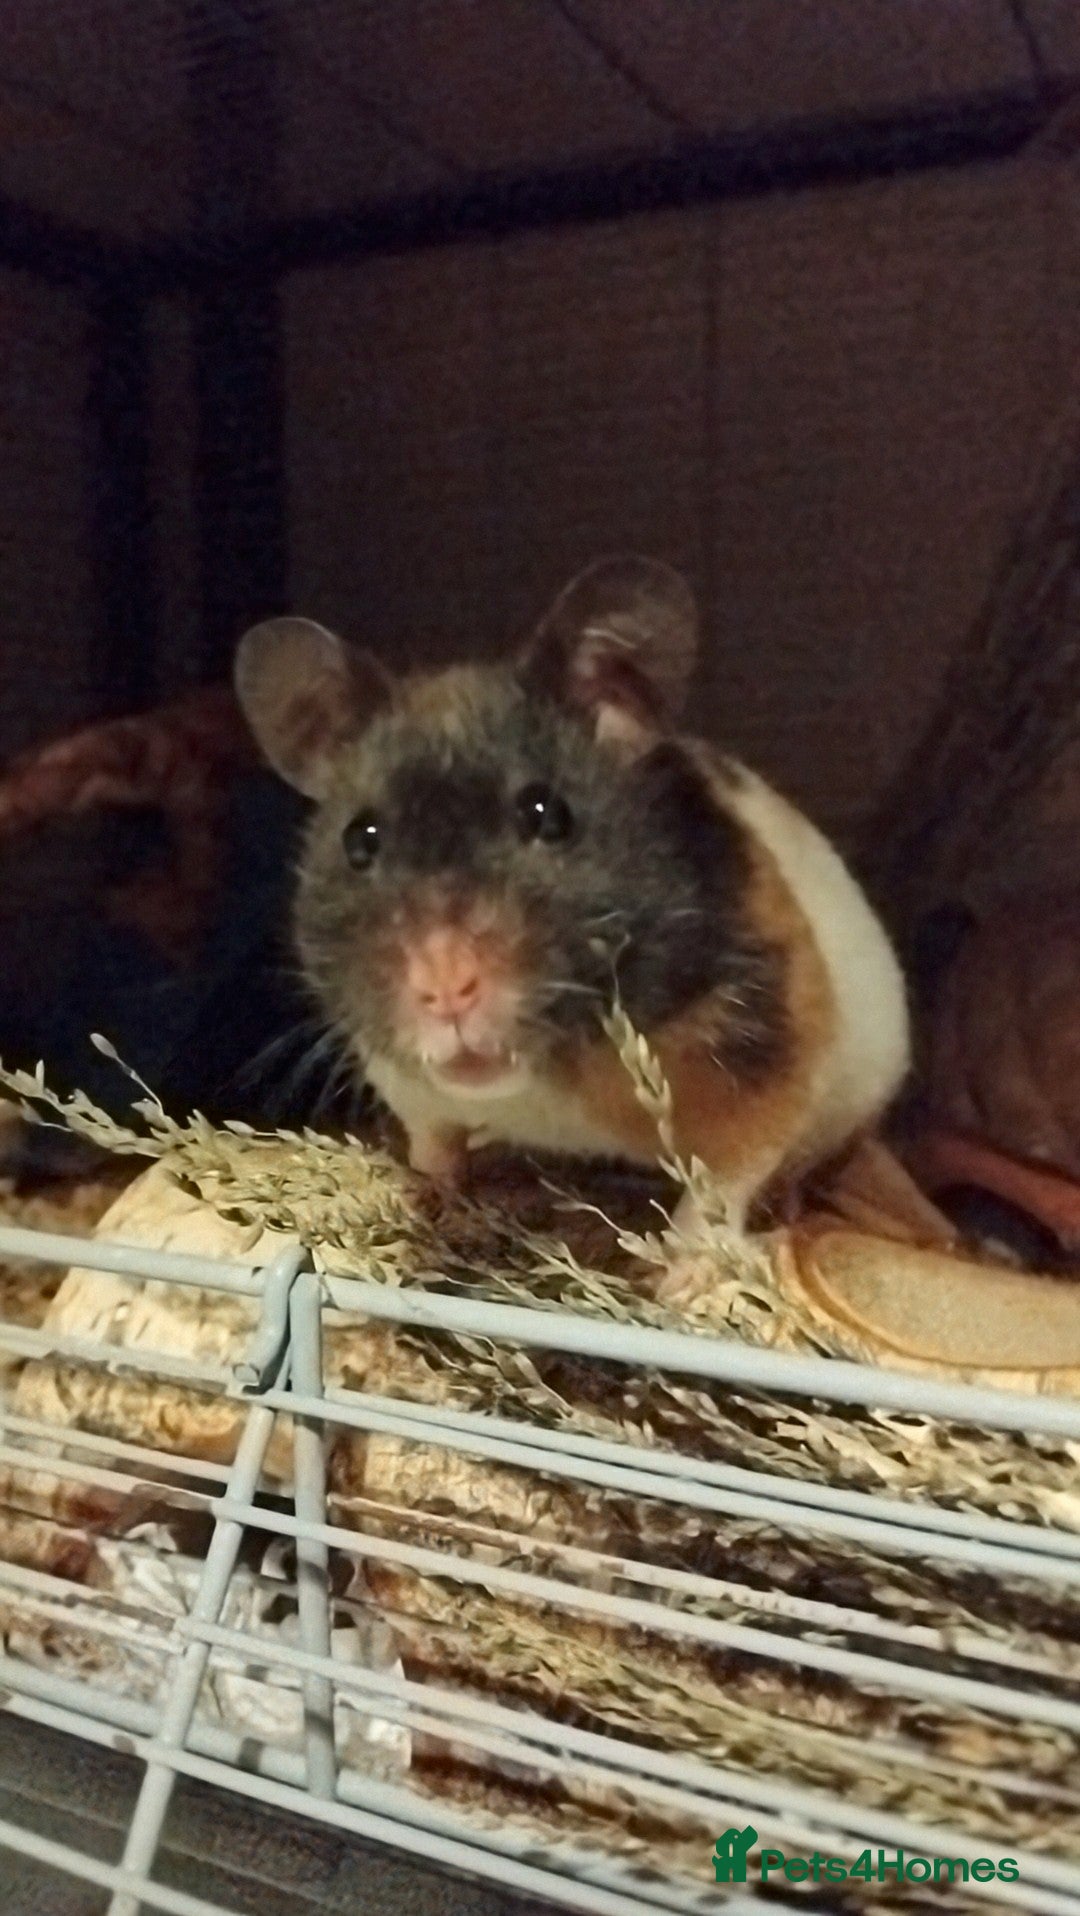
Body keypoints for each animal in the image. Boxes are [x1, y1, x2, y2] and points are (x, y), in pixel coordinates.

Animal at [234, 557, 910, 1231]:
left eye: (547, 814)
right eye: (360, 840)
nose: (444, 989)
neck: (546, 1078)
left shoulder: (772, 1056)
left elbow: (720, 1189)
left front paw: (679, 1259)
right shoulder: (406, 1083)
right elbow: (434, 1144)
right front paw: (430, 1197)